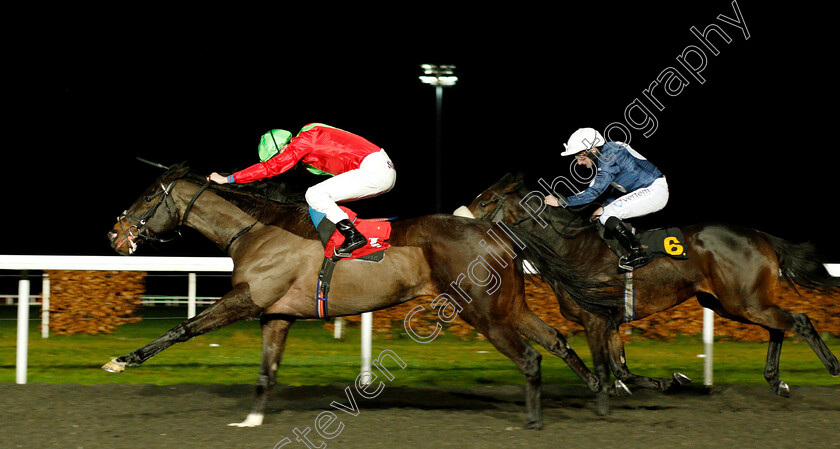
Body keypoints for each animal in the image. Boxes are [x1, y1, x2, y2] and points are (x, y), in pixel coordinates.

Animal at [103, 164, 616, 428]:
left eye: (147, 198)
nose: (114, 234)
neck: (256, 229)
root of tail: (496, 231)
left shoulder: (249, 298)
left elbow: (185, 327)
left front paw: (121, 361)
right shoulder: (276, 313)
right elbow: (267, 371)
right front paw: (251, 420)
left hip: (482, 312)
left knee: (530, 356)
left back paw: (534, 420)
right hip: (508, 305)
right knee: (555, 339)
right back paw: (600, 392)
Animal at [466, 173, 840, 408]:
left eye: (485, 202)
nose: (463, 222)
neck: (572, 249)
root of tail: (760, 235)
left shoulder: (595, 319)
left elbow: (608, 368)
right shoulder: (610, 321)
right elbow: (621, 369)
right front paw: (669, 381)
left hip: (743, 301)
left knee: (799, 320)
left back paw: (833, 366)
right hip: (730, 303)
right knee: (779, 327)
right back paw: (777, 381)